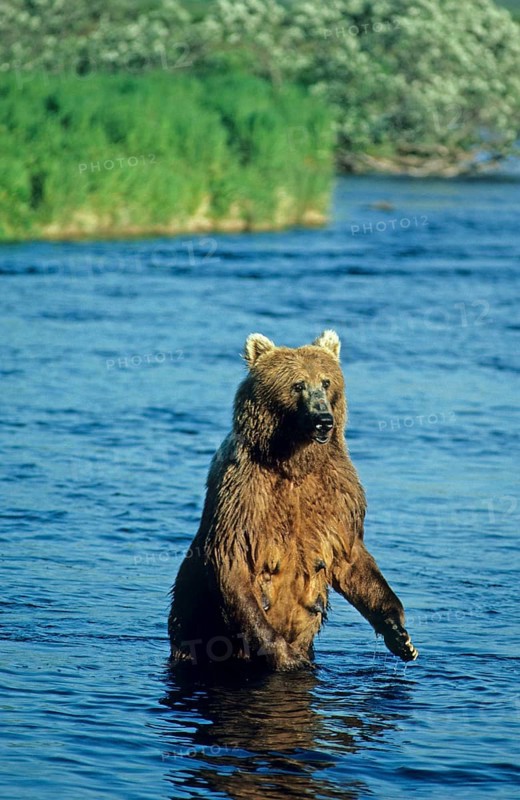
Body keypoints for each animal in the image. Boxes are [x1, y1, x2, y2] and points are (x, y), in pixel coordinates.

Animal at [168, 330, 418, 670]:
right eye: (297, 384)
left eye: (326, 381)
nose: (323, 419)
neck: (294, 460)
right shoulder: (246, 495)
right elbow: (233, 562)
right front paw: (286, 655)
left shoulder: (338, 495)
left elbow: (351, 558)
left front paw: (400, 634)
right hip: (193, 620)